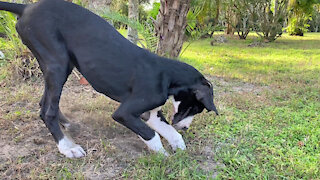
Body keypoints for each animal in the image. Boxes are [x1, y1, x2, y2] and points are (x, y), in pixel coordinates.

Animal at [0, 0, 219, 158]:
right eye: (194, 108)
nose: (186, 127)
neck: (167, 75)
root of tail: (27, 7)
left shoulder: (151, 114)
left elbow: (169, 131)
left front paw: (178, 146)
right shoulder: (125, 113)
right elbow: (152, 134)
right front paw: (163, 156)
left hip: (59, 66)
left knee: (43, 102)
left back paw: (68, 126)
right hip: (57, 64)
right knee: (47, 111)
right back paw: (67, 147)